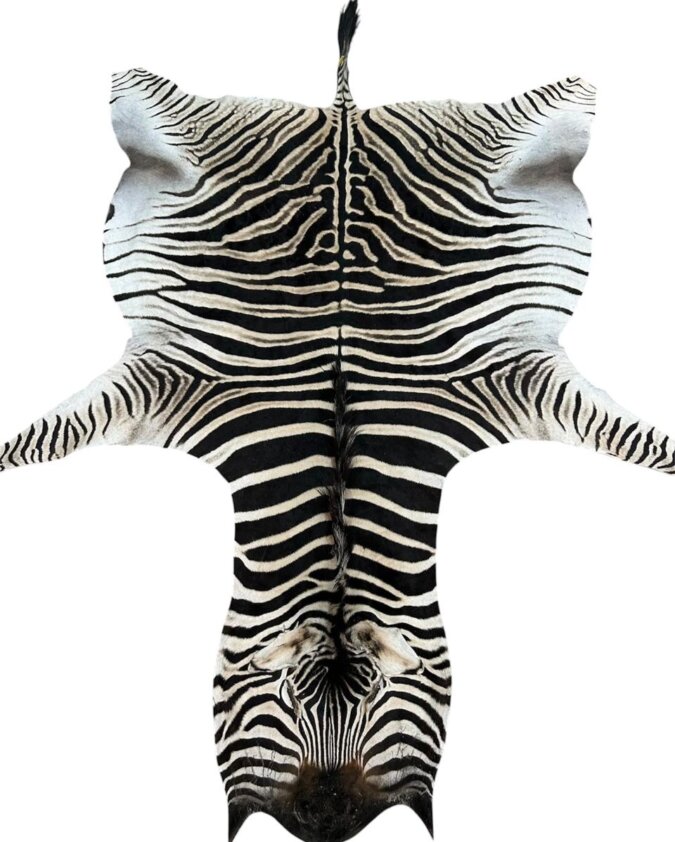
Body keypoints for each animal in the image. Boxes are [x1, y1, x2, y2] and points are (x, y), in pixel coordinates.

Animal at [1, 1, 673, 840]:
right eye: (279, 705)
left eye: (386, 706)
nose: (326, 821)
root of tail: (343, 118)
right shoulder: (176, 378)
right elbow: (44, 436)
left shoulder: (505, 376)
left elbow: (631, 436)